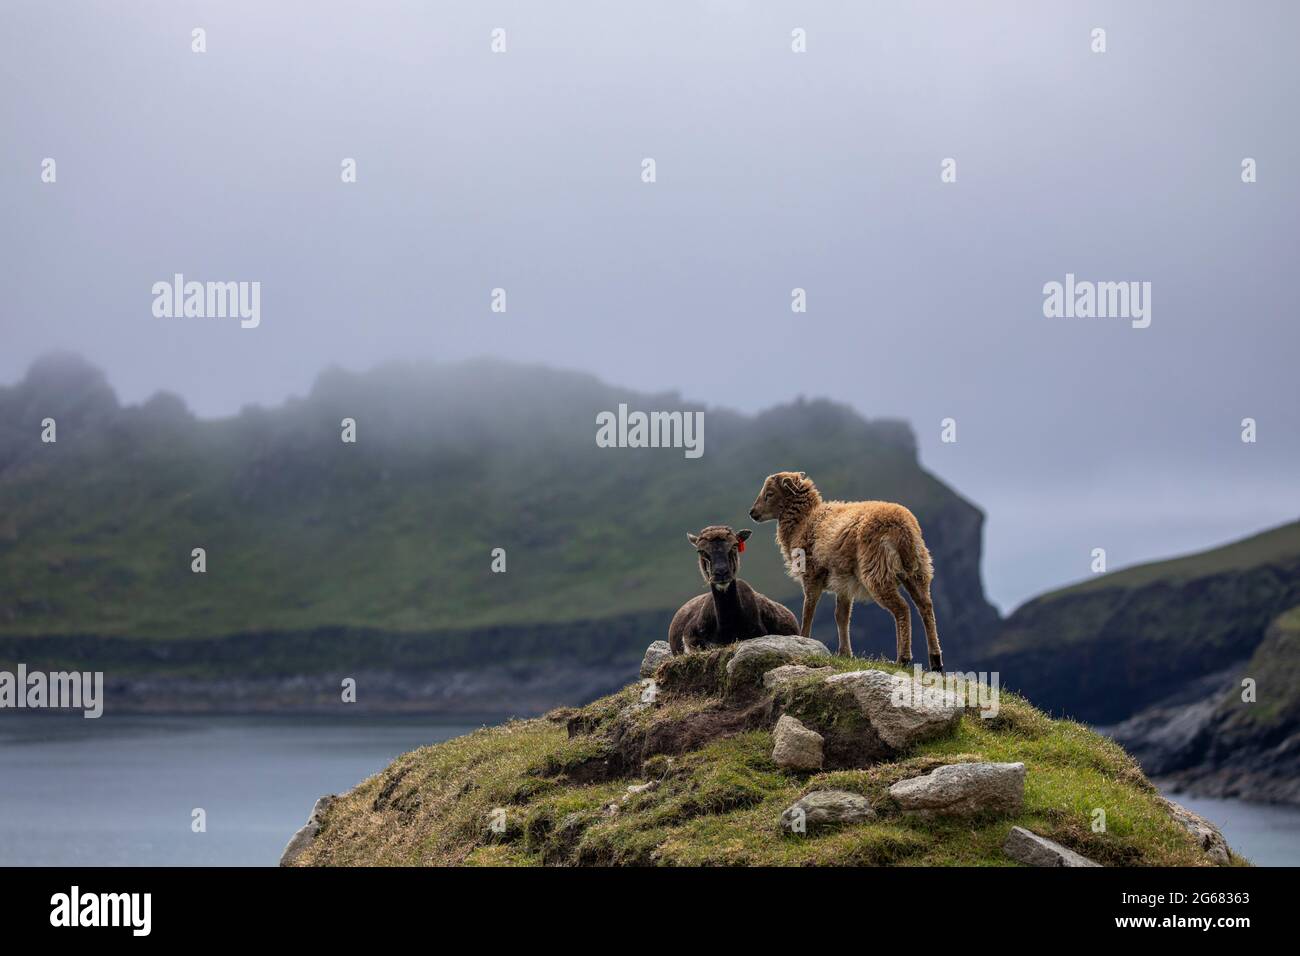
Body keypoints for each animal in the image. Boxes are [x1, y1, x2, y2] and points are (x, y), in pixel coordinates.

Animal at [754, 473, 946, 671]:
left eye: (769, 493)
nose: (752, 513)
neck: (804, 520)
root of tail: (903, 530)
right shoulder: (844, 584)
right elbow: (841, 616)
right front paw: (845, 653)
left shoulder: (812, 575)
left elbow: (808, 610)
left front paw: (804, 639)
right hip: (917, 571)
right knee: (925, 607)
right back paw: (935, 660)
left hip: (877, 571)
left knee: (902, 609)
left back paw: (903, 658)